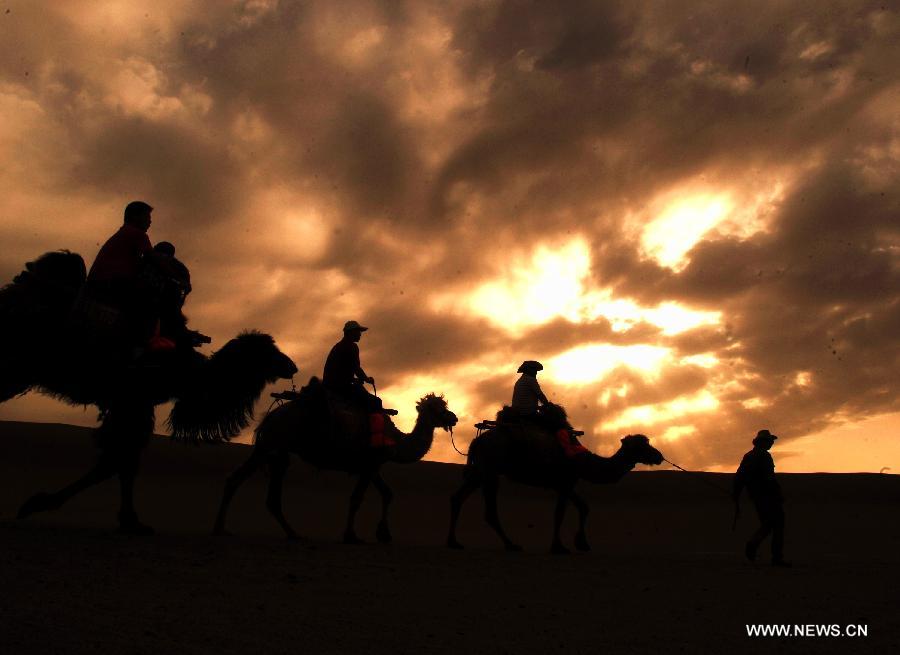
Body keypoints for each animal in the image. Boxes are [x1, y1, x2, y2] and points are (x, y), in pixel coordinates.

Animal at [1, 251, 298, 532]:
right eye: (267, 351)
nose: (291, 365)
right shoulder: (133, 401)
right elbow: (116, 462)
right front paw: (38, 503)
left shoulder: (133, 404)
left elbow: (120, 463)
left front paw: (129, 521)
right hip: (18, 367)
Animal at [213, 380, 458, 544]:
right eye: (438, 408)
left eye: (443, 406)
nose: (453, 417)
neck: (397, 439)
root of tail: (270, 416)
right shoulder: (370, 464)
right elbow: (357, 498)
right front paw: (351, 535)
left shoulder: (370, 467)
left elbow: (387, 493)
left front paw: (384, 534)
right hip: (273, 442)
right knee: (249, 483)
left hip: (272, 449)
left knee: (248, 484)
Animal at [446, 404, 664, 552]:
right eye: (642, 445)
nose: (659, 456)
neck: (581, 459)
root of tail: (476, 441)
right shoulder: (565, 482)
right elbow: (559, 513)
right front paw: (559, 547)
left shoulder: (564, 484)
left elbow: (583, 507)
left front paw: (582, 543)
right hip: (490, 470)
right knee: (489, 511)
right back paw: (511, 544)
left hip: (480, 472)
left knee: (457, 498)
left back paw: (454, 542)